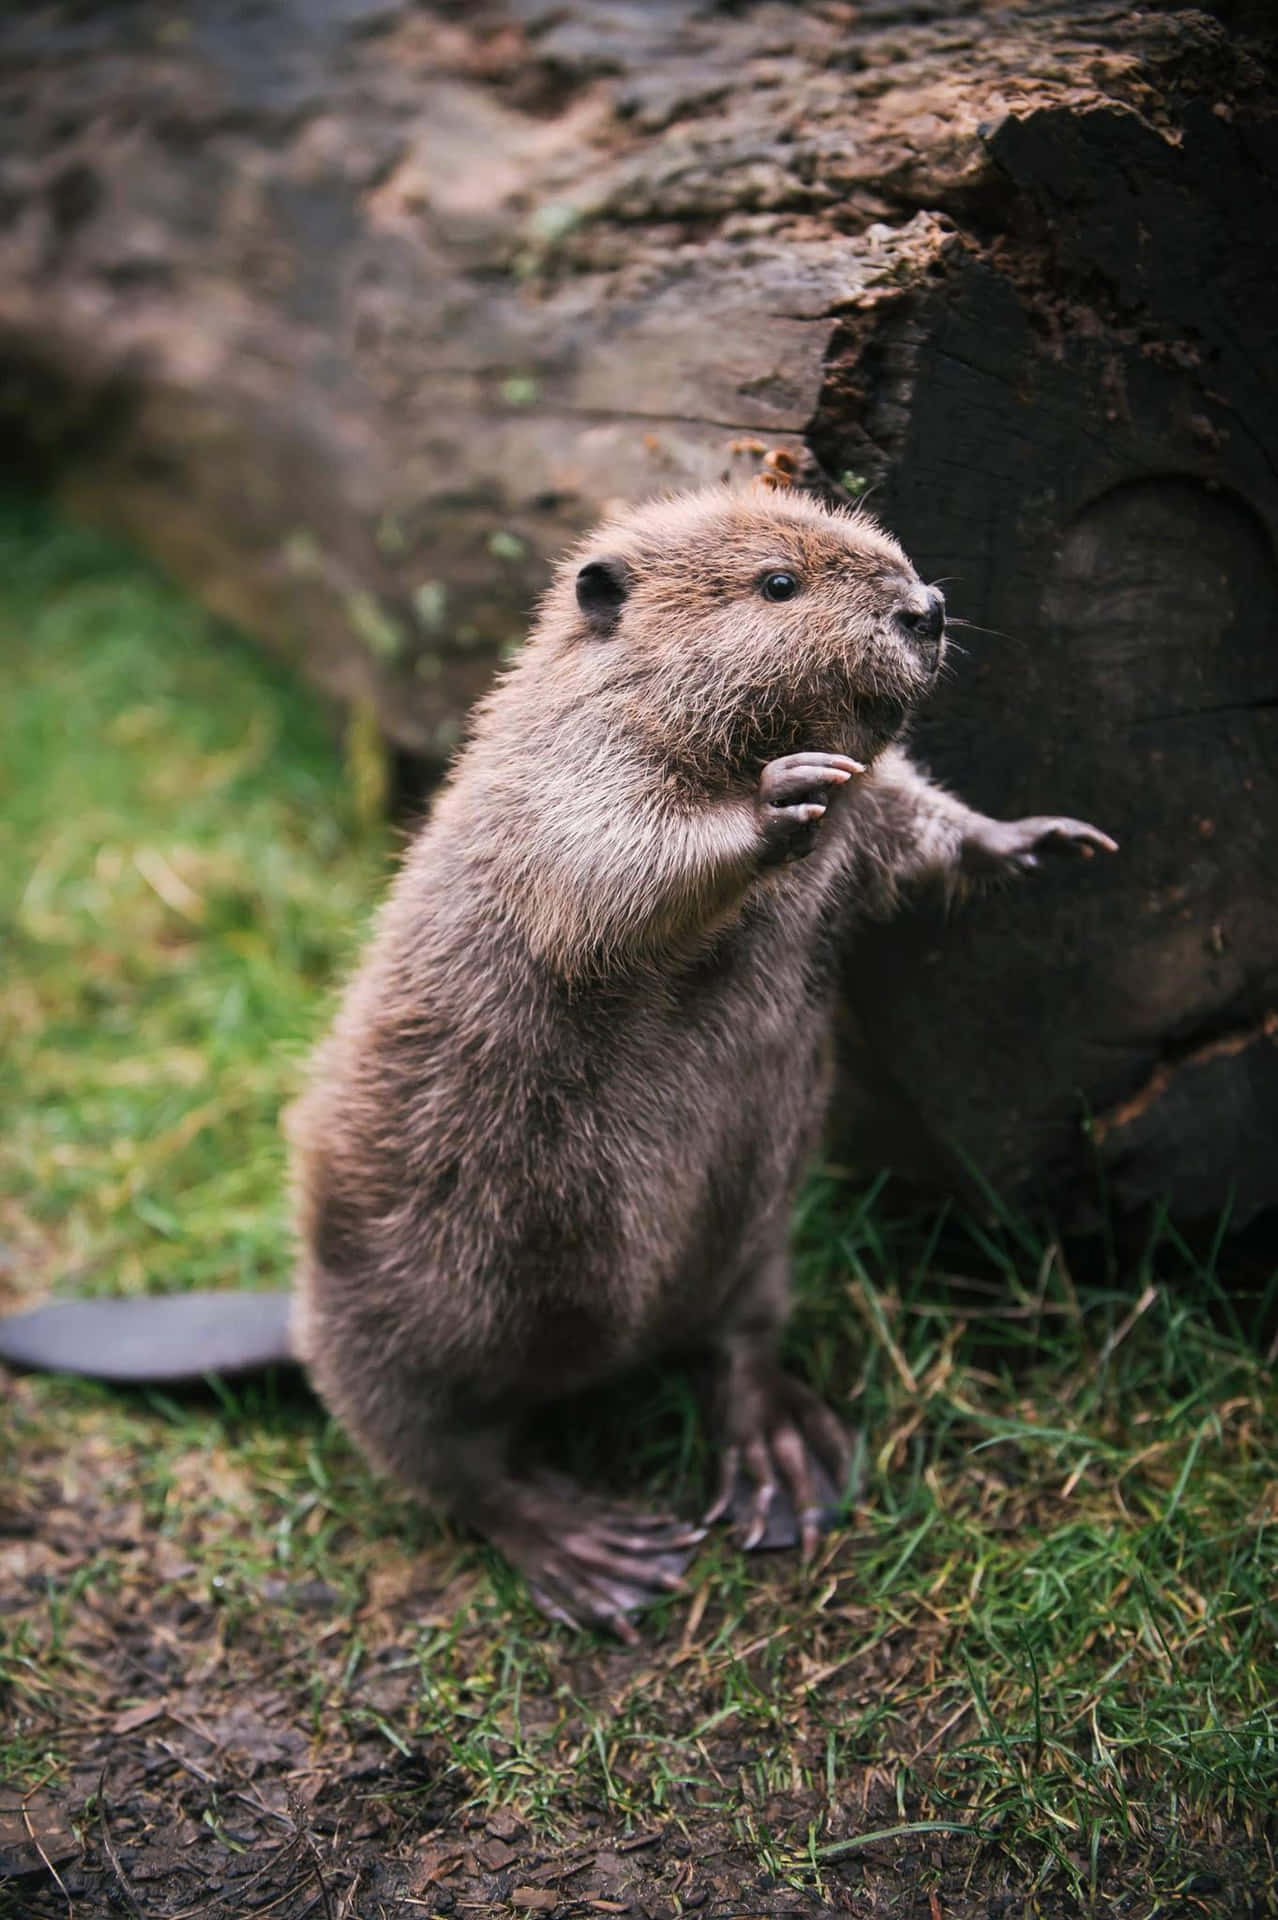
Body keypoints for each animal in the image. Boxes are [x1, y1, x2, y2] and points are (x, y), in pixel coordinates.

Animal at [0, 480, 1112, 1635]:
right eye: (778, 583)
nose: (925, 608)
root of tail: (291, 1323)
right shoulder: (557, 778)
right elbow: (608, 869)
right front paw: (782, 793)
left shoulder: (854, 817)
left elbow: (903, 818)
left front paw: (1040, 837)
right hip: (404, 1310)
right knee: (443, 1460)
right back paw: (599, 1554)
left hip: (753, 1240)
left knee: (737, 1342)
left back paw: (781, 1465)